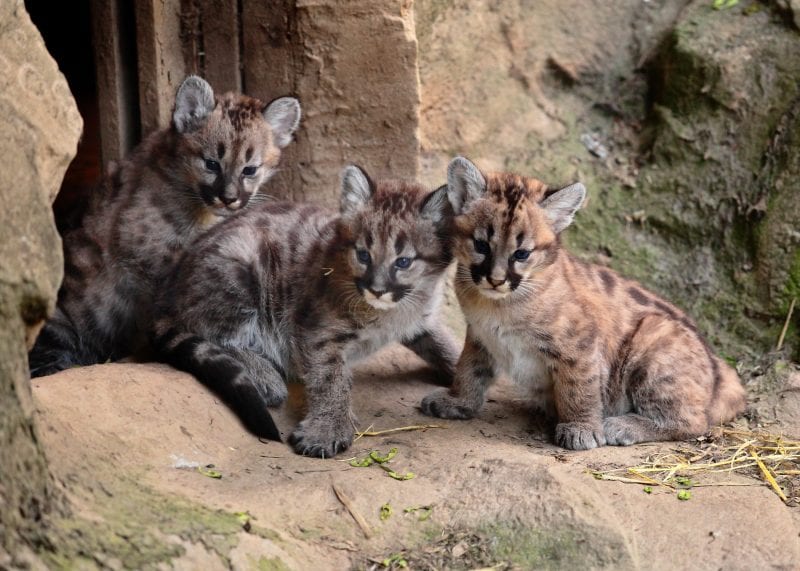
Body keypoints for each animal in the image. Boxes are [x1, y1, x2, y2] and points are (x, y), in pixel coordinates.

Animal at [422, 158, 748, 452]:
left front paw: (582, 429)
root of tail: (719, 368)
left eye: (522, 253)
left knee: (693, 422)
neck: (498, 304)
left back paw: (621, 425)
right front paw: (458, 401)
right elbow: (470, 369)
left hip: (654, 341)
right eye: (481, 245)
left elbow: (580, 388)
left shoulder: (580, 343)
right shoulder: (481, 335)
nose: (495, 279)